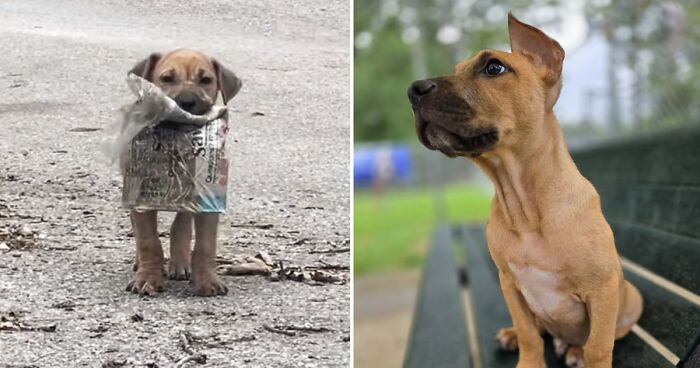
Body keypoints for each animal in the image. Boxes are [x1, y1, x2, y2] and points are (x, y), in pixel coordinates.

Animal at [127, 49, 242, 296]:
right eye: (167, 78)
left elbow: (205, 244)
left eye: (206, 80)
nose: (187, 103)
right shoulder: (140, 199)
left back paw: (180, 263)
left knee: (181, 223)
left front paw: (207, 280)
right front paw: (147, 278)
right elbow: (148, 241)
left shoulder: (209, 200)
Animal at [408, 12, 644, 366]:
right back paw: (512, 335)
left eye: (494, 68)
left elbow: (599, 346)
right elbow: (529, 334)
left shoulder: (602, 288)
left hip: (631, 298)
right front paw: (526, 355)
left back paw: (574, 350)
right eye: (457, 69)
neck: (524, 204)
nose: (414, 90)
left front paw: (587, 354)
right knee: (537, 328)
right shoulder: (510, 283)